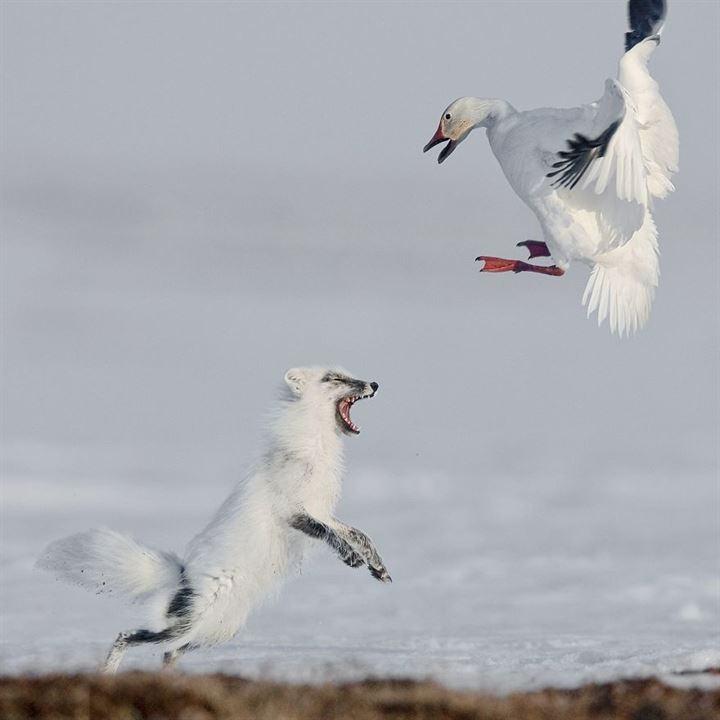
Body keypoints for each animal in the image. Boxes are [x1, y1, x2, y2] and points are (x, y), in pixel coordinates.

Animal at [37, 368, 390, 672]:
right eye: (334, 378)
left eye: (348, 374)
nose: (373, 384)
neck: (316, 446)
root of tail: (182, 576)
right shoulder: (293, 511)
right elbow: (329, 534)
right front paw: (350, 557)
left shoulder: (321, 510)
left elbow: (359, 534)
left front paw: (377, 567)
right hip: (192, 623)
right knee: (128, 636)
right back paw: (108, 674)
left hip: (219, 629)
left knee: (169, 652)